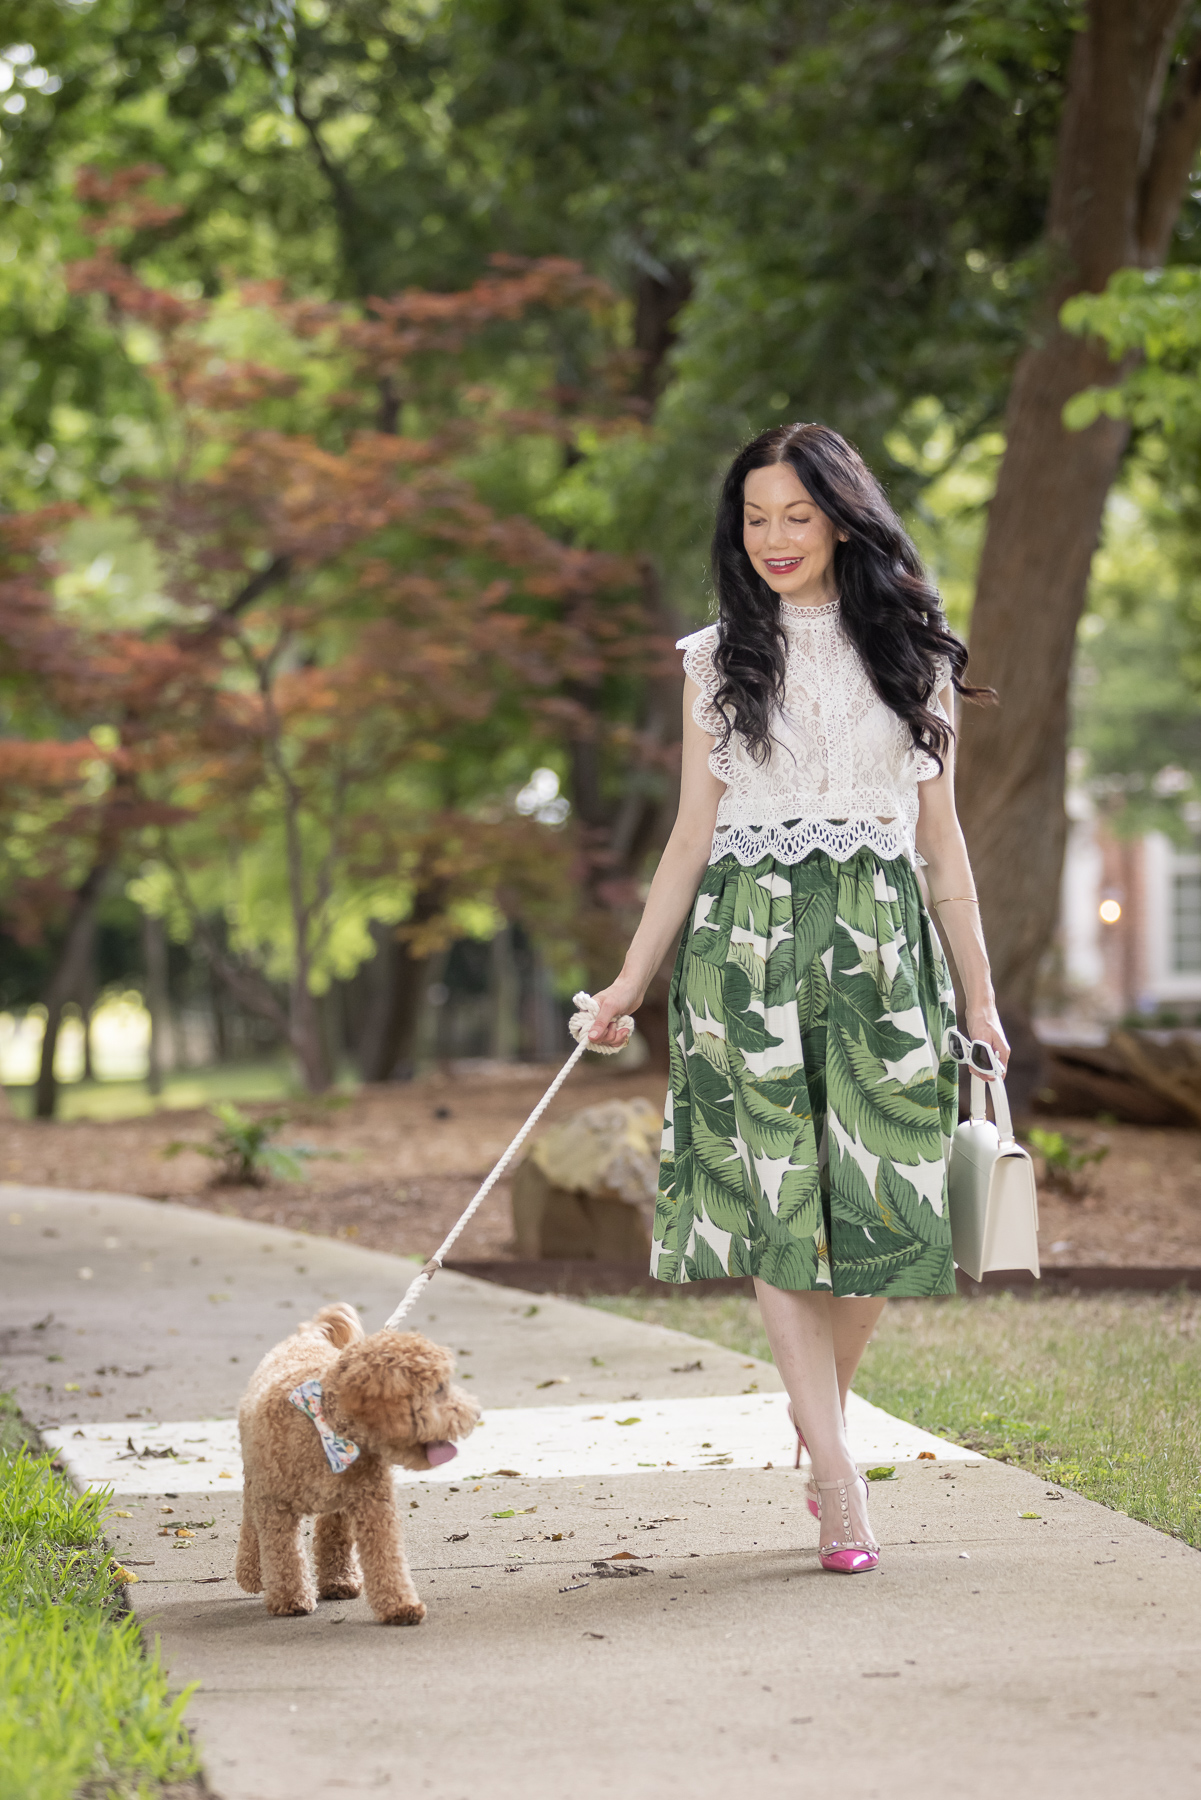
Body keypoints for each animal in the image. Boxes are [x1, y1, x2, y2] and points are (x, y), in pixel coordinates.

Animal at [234, 1303, 478, 1627]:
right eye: (439, 1389)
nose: (475, 1413)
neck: (328, 1425)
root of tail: (307, 1336)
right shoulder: (275, 1504)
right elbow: (283, 1554)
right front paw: (290, 1599)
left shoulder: (373, 1503)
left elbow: (386, 1557)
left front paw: (400, 1605)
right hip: (255, 1477)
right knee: (251, 1521)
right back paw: (251, 1572)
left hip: (341, 1500)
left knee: (333, 1533)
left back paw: (339, 1579)